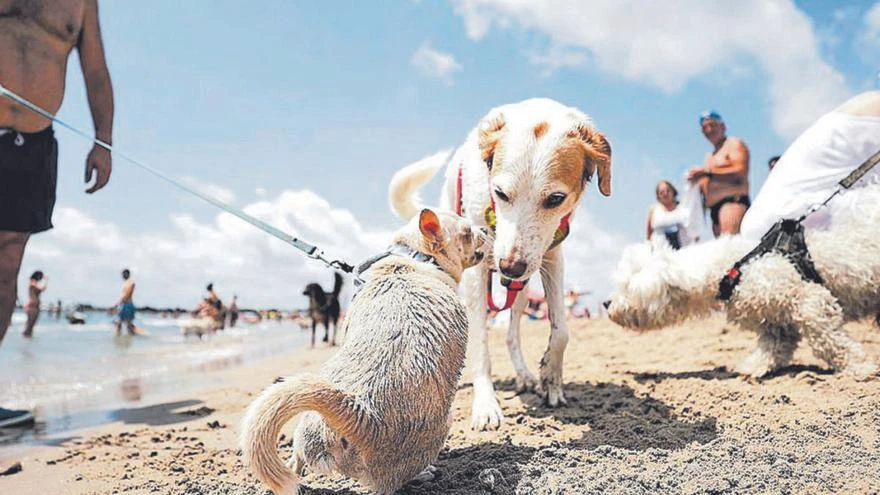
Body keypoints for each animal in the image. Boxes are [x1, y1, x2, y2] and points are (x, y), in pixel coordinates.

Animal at [241, 209, 488, 495]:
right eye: (467, 232)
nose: (485, 229)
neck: (412, 256)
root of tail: (361, 415)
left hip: (304, 433)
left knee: (294, 464)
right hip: (445, 422)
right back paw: (422, 475)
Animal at [392, 98, 612, 430]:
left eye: (556, 198)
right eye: (500, 193)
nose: (509, 268)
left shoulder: (551, 256)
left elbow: (561, 330)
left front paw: (551, 378)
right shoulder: (477, 270)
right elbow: (481, 346)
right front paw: (485, 405)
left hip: (522, 291)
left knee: (511, 334)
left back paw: (524, 375)